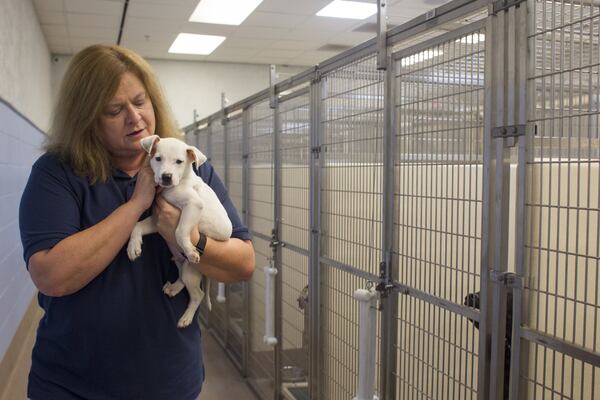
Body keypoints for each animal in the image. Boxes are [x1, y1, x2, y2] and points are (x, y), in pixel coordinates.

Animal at [126, 134, 232, 328]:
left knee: (198, 294)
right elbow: (137, 225)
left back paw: (186, 317)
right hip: (180, 264)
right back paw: (174, 287)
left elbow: (179, 231)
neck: (179, 182)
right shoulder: (156, 220)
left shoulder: (193, 204)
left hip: (192, 271)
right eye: (158, 158)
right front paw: (133, 247)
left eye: (179, 162)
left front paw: (190, 249)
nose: (166, 177)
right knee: (182, 278)